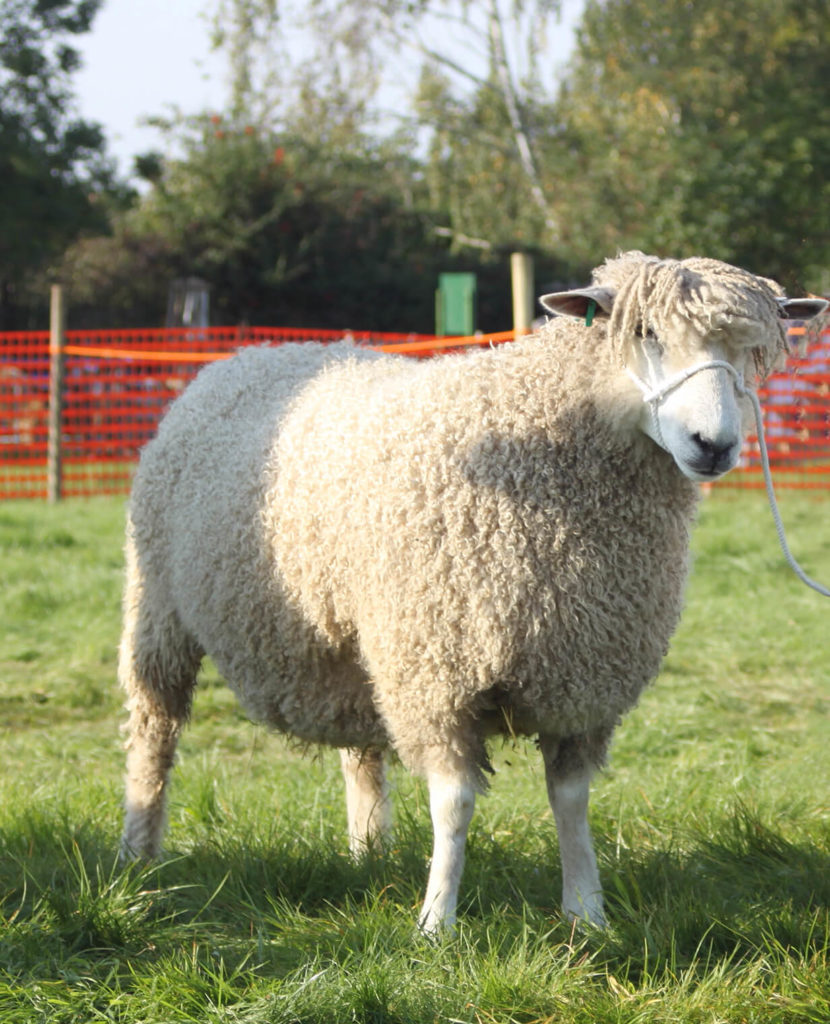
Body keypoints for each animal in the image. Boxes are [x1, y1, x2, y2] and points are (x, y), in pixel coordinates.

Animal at [118, 251, 826, 933]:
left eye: (749, 350)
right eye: (644, 332)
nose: (715, 445)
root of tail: (254, 353)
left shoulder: (582, 675)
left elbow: (571, 801)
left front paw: (587, 914)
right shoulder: (440, 671)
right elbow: (454, 804)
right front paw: (438, 921)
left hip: (360, 637)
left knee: (359, 749)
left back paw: (367, 851)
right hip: (159, 609)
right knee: (154, 730)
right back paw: (137, 855)